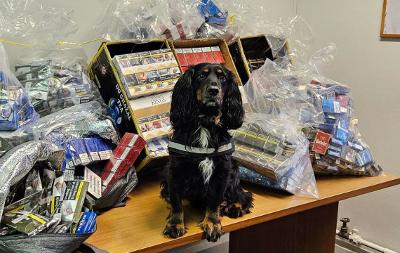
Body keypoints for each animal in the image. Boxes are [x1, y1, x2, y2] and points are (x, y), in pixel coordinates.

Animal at [160, 62, 252, 241]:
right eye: (202, 75)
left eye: (222, 77)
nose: (213, 90)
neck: (205, 123)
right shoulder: (175, 170)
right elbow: (176, 202)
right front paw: (175, 224)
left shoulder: (222, 170)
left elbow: (215, 200)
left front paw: (212, 223)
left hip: (234, 169)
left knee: (242, 194)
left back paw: (235, 206)